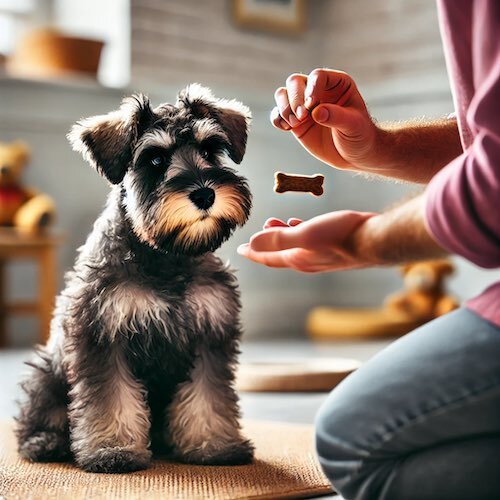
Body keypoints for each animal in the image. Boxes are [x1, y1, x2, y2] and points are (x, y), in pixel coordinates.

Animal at [15, 85, 254, 472]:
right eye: (154, 160)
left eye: (209, 150)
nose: (205, 193)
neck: (166, 255)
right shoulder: (102, 333)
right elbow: (110, 399)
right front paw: (113, 450)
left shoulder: (210, 334)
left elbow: (209, 396)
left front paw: (214, 445)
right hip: (45, 372)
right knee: (39, 415)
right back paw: (45, 441)